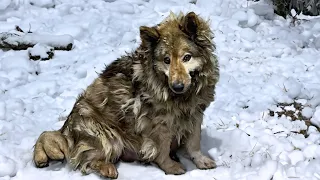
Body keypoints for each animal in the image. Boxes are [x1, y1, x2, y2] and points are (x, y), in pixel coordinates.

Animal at [32, 11, 219, 179]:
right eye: (166, 60)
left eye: (187, 57)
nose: (177, 86)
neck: (181, 96)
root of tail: (66, 131)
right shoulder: (158, 123)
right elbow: (163, 148)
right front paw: (170, 167)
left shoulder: (195, 114)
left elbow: (194, 142)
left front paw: (200, 160)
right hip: (107, 134)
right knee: (87, 161)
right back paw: (107, 168)